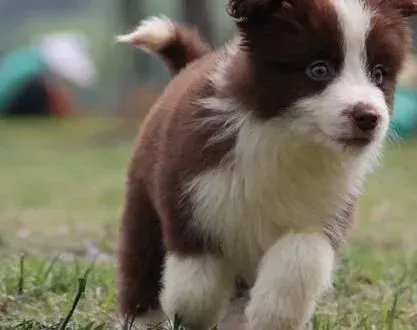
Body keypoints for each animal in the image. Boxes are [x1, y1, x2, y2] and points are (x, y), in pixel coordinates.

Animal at [115, 1, 416, 328]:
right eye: (319, 69)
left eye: (378, 73)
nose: (369, 117)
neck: (287, 136)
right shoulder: (192, 199)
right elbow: (196, 287)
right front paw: (191, 315)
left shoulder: (322, 213)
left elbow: (299, 261)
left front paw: (268, 314)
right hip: (143, 201)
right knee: (142, 262)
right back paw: (143, 318)